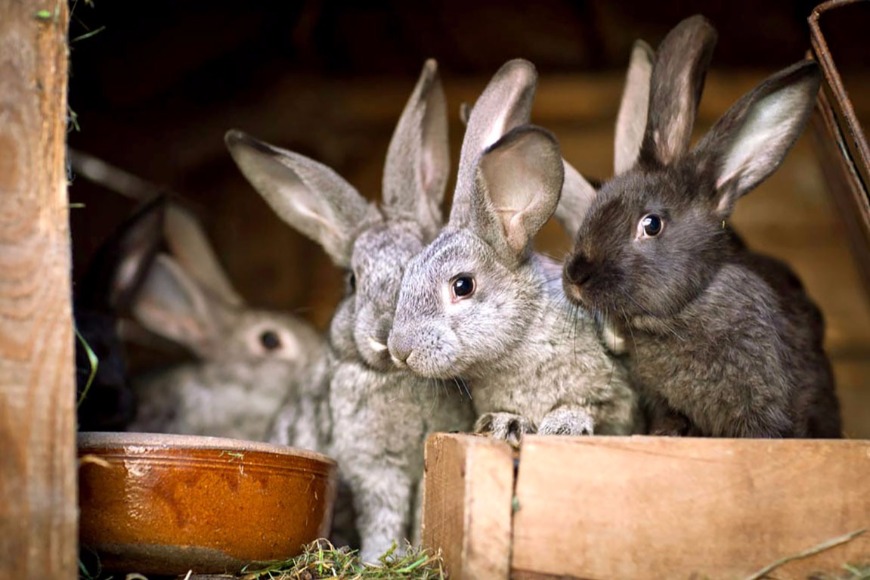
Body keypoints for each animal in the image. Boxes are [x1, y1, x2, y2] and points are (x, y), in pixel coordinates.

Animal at [225, 59, 476, 562]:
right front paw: (381, 558)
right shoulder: (374, 468)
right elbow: (382, 514)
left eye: (420, 262)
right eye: (352, 282)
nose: (385, 337)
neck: (397, 377)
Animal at [386, 59, 641, 445]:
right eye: (409, 270)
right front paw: (503, 423)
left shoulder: (615, 396)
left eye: (463, 285)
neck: (518, 344)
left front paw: (563, 424)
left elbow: (591, 406)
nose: (400, 350)